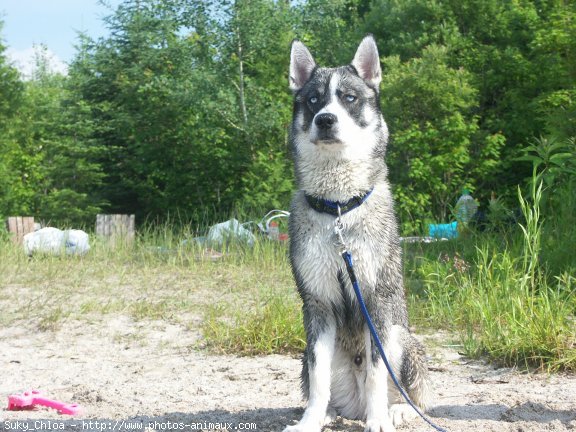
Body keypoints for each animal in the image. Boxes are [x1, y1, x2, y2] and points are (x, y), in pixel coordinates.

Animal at [286, 35, 430, 430]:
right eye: (313, 100)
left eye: (349, 98)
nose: (325, 119)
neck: (338, 207)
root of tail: (354, 407)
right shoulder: (317, 306)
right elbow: (318, 378)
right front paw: (309, 421)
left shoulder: (376, 303)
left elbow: (379, 374)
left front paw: (379, 419)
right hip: (307, 354)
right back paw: (330, 413)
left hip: (403, 339)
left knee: (413, 396)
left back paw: (396, 410)